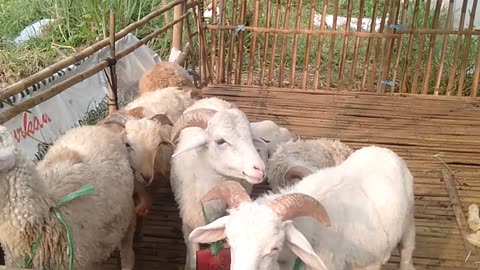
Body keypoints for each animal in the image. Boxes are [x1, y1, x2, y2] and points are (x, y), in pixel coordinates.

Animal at [169, 97, 266, 270]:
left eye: (250, 138)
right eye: (220, 141)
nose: (260, 169)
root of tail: (212, 98)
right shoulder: (188, 225)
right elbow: (193, 258)